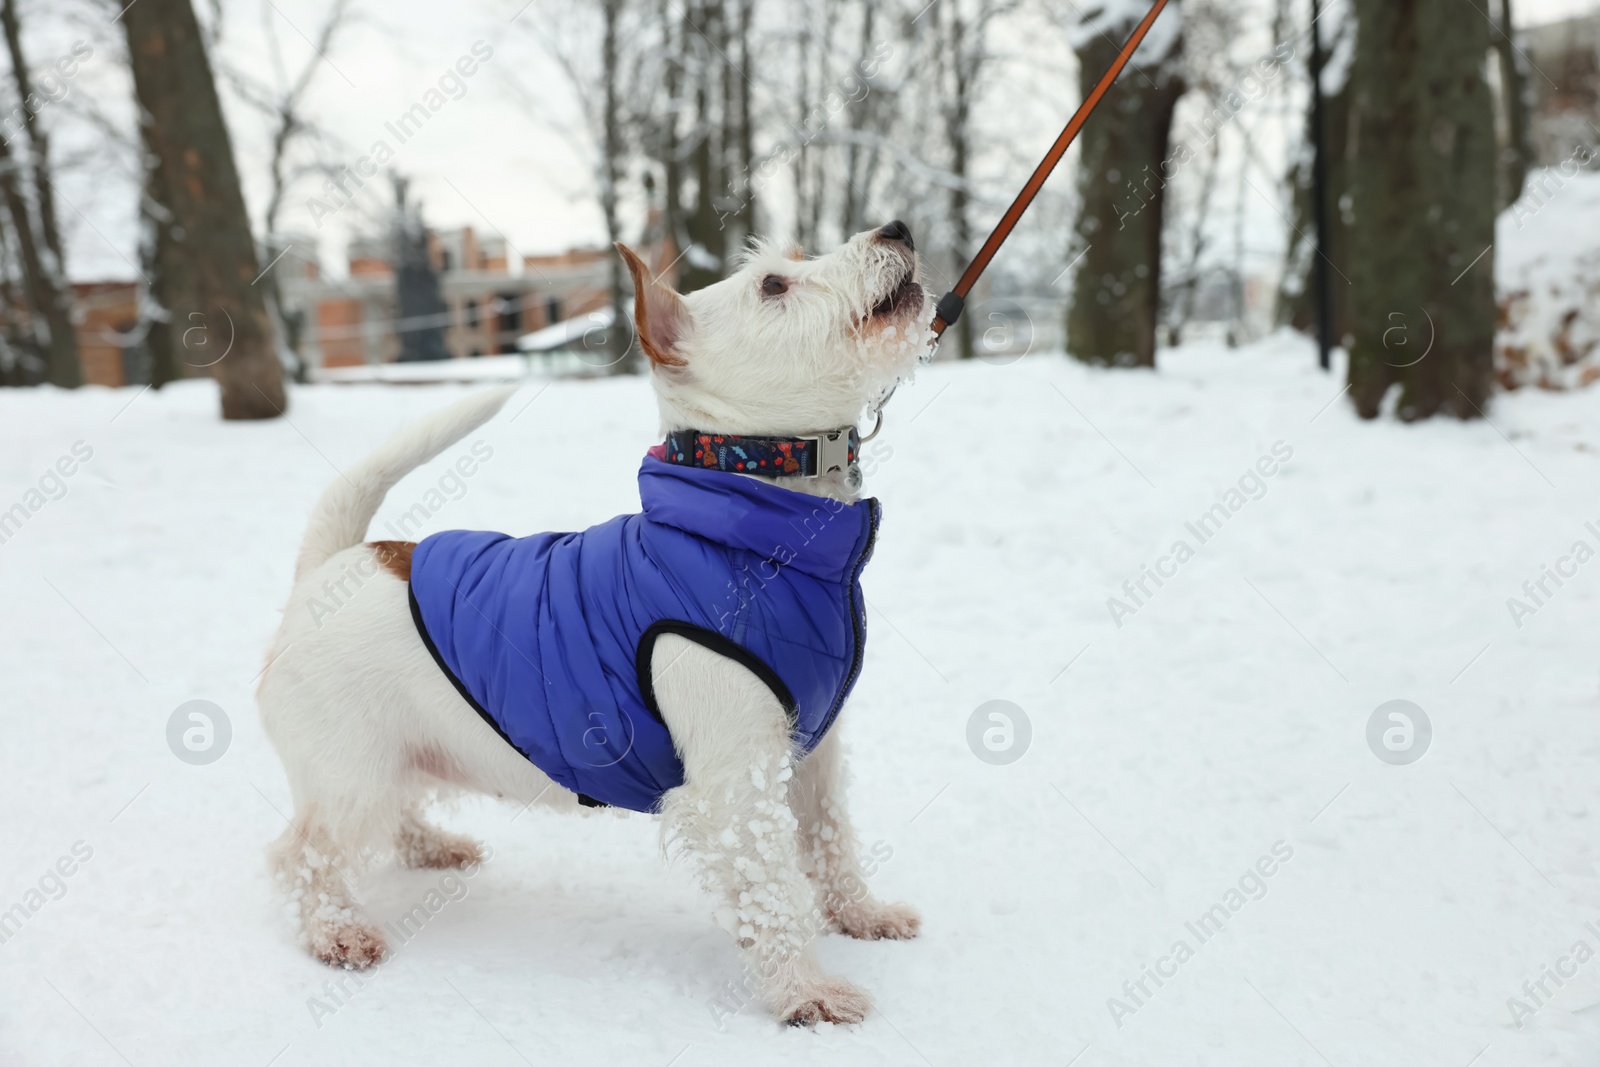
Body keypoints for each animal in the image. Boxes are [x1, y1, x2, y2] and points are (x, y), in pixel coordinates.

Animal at [260, 219, 934, 1023]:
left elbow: (832, 840)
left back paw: (433, 848)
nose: (897, 228)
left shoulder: (813, 755)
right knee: (302, 855)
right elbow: (771, 892)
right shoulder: (735, 781)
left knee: (389, 816)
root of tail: (330, 565)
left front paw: (861, 915)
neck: (752, 521)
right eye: (773, 284)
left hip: (393, 757)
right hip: (350, 773)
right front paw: (806, 992)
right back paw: (337, 932)